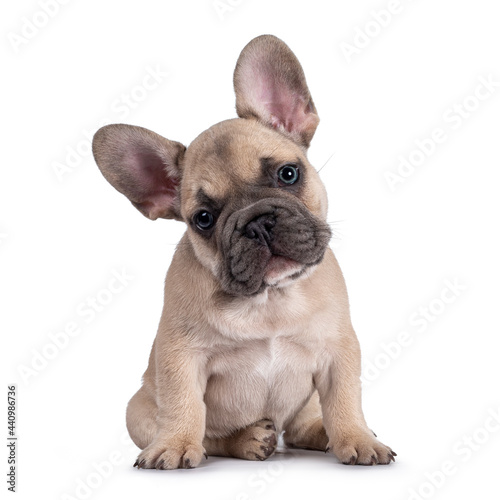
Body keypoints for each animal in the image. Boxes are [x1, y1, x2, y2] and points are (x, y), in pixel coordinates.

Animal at [93, 34, 394, 468]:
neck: (269, 300)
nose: (257, 222)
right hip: (138, 411)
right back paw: (249, 439)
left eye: (289, 174)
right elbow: (186, 405)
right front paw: (175, 444)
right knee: (211, 436)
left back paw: (324, 433)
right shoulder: (181, 356)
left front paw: (356, 436)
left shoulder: (338, 350)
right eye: (203, 218)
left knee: (301, 425)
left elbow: (344, 399)